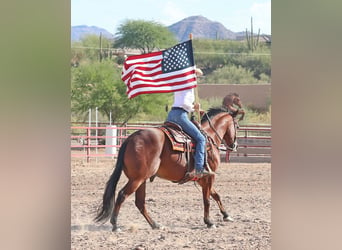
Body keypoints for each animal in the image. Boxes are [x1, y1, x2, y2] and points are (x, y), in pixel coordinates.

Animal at [93, 107, 238, 230]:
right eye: (237, 126)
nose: (234, 145)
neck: (210, 137)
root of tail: (130, 138)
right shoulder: (209, 176)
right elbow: (207, 200)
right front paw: (209, 222)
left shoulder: (202, 179)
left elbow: (216, 195)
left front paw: (226, 215)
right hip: (137, 179)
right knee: (122, 195)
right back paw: (115, 225)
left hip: (141, 180)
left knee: (140, 202)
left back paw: (155, 224)